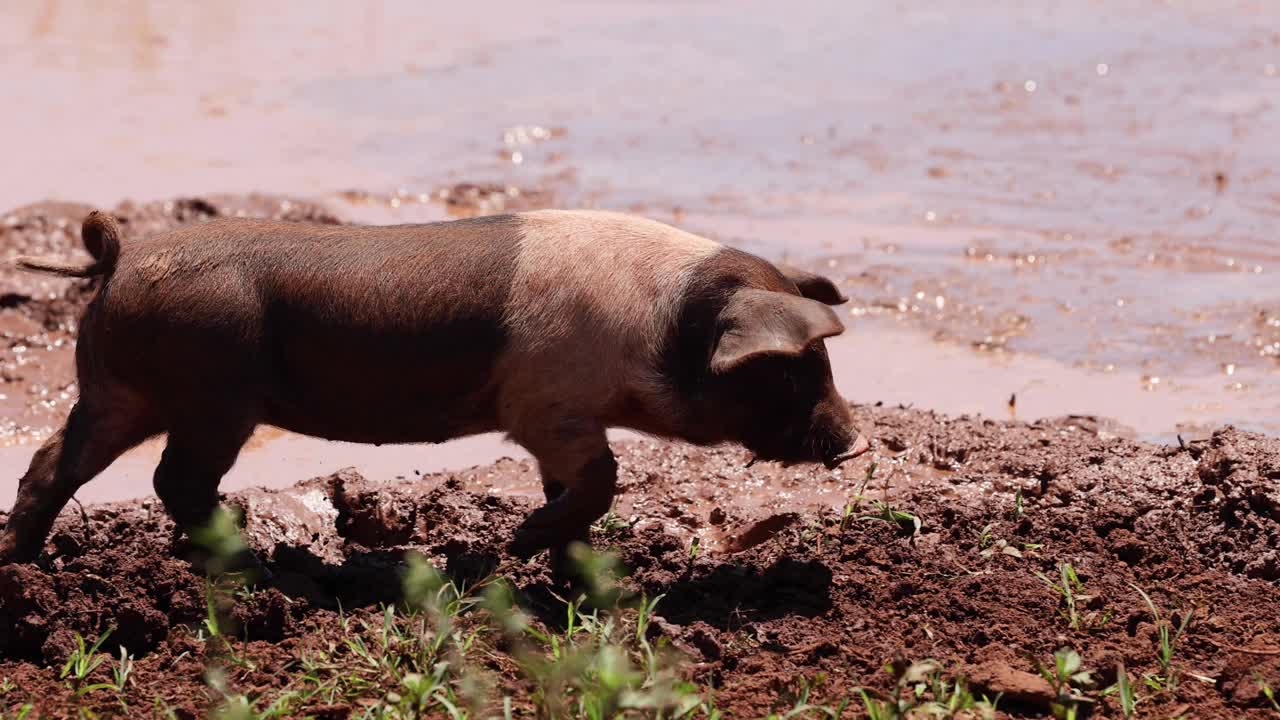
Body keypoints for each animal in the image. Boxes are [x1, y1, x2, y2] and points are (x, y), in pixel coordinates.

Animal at [0, 206, 865, 571]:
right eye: (791, 368)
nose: (855, 442)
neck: (663, 328)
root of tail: (119, 259)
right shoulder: (545, 405)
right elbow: (602, 478)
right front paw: (521, 545)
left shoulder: (558, 416)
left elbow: (573, 488)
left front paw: (573, 563)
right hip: (213, 396)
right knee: (174, 479)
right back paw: (254, 562)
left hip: (118, 393)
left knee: (52, 463)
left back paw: (22, 562)